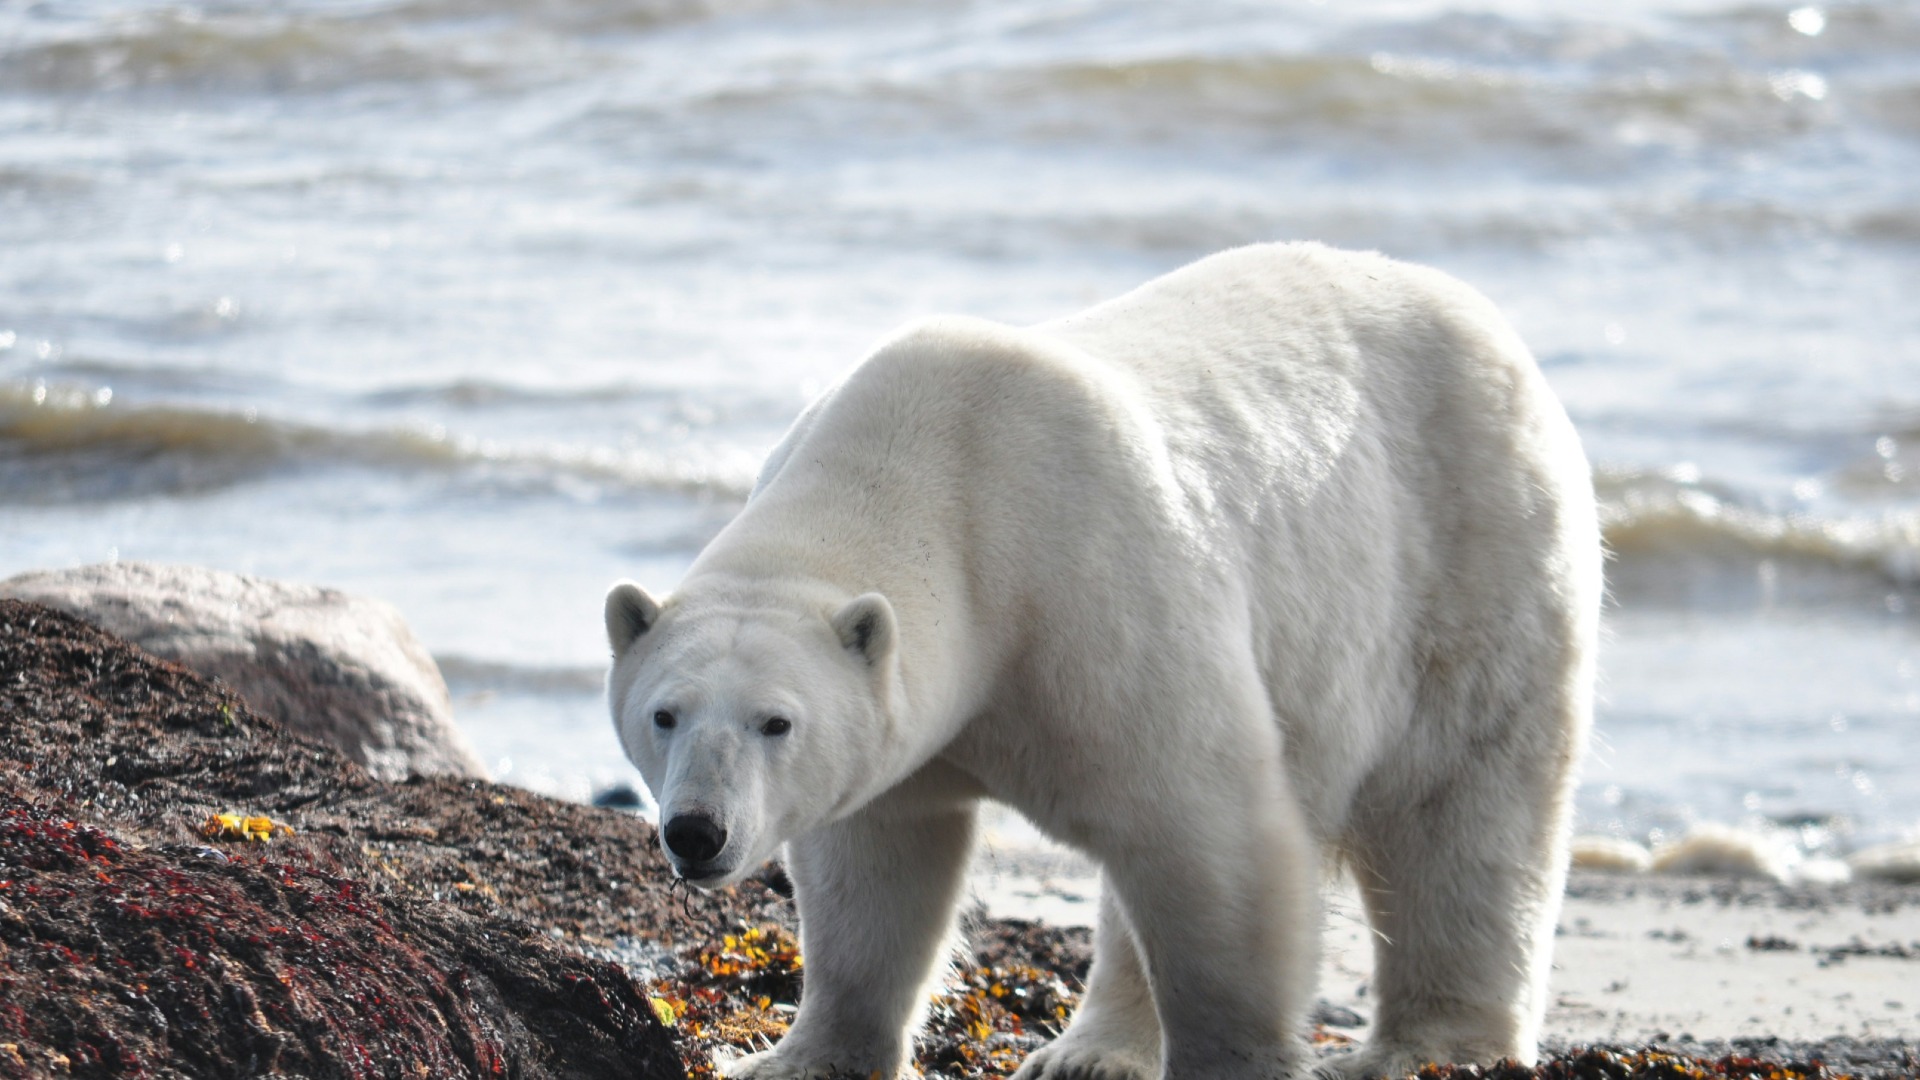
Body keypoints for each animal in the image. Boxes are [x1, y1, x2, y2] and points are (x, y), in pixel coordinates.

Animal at [605, 242, 1601, 1080]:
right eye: (664, 714)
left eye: (776, 721)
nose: (697, 832)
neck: (944, 477)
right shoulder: (915, 724)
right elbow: (879, 868)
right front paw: (797, 1060)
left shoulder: (1094, 599)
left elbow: (1208, 829)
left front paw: (1232, 1063)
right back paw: (1090, 1051)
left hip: (1472, 557)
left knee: (1461, 810)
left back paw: (1437, 1045)